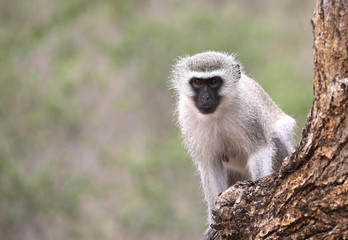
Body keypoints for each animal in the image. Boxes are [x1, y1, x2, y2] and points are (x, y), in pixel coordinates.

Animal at [170, 51, 294, 239]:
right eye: (197, 82)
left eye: (214, 81)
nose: (205, 97)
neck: (217, 113)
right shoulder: (186, 116)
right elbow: (210, 165)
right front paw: (213, 225)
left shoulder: (249, 111)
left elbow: (260, 149)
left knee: (278, 134)